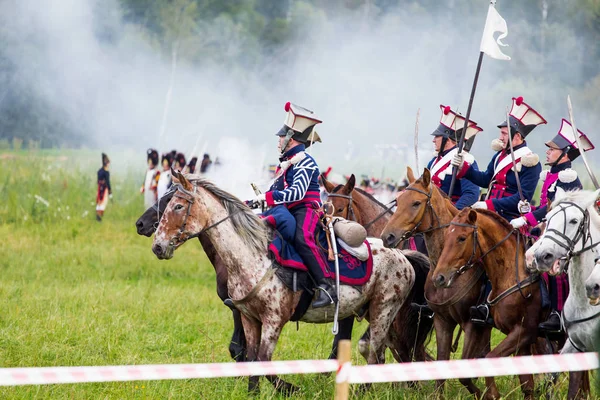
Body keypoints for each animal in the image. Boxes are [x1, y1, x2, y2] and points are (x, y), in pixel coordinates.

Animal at [380, 167, 492, 396]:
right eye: (398, 200)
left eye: (416, 203)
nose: (387, 236)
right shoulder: (441, 320)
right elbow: (440, 361)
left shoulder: (470, 323)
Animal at [434, 208, 548, 398]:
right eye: (447, 235)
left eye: (462, 238)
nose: (439, 278)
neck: (512, 273)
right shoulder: (518, 339)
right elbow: (527, 386)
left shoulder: (524, 331)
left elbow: (489, 359)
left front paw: (492, 393)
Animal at [528, 188, 600, 400]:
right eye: (548, 218)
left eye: (574, 221)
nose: (542, 256)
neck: (585, 303)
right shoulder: (575, 344)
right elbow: (556, 376)